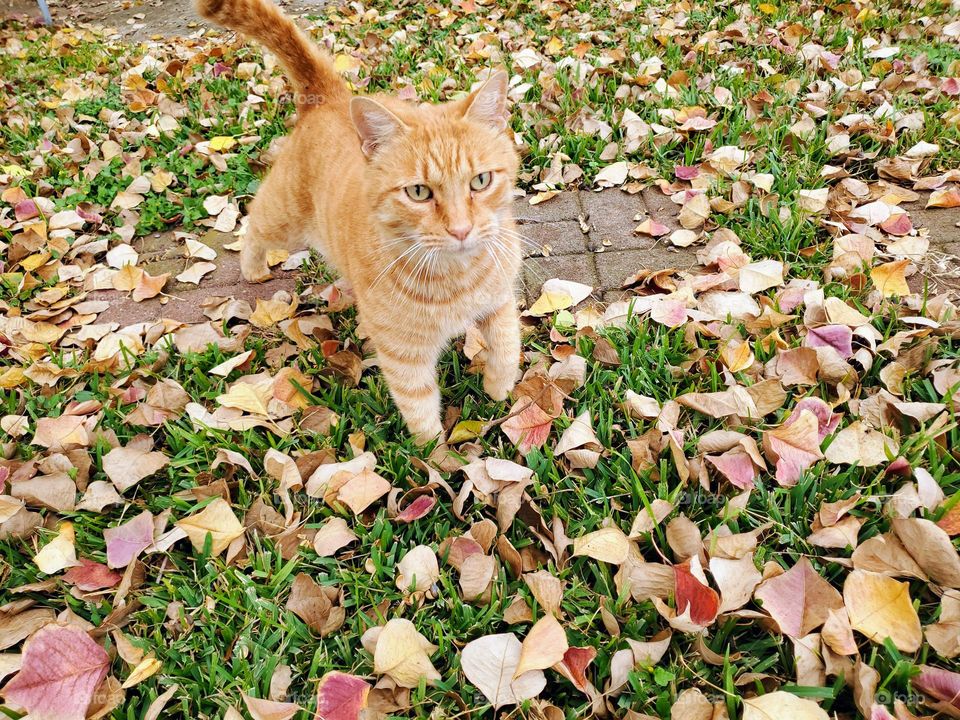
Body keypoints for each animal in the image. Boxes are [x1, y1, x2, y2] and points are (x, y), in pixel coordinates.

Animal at [196, 0, 520, 444]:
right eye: (419, 192)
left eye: (481, 181)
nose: (460, 229)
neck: (457, 276)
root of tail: (331, 98)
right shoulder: (403, 354)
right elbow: (419, 406)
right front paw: (436, 452)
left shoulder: (500, 300)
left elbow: (507, 347)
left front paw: (498, 389)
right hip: (284, 218)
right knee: (254, 224)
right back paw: (253, 267)